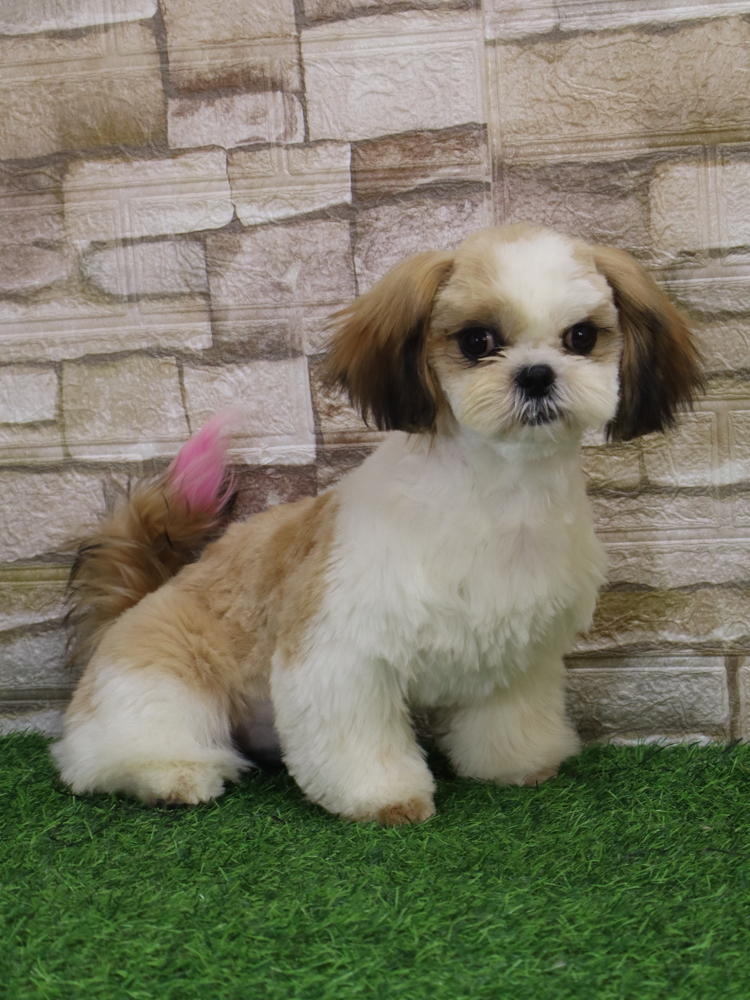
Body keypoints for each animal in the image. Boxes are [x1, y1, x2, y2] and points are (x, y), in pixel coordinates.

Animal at [53, 224, 701, 824]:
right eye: (478, 341)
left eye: (582, 336)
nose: (537, 374)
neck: (496, 495)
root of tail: (142, 597)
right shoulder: (341, 651)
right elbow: (358, 738)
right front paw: (383, 798)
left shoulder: (516, 649)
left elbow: (508, 718)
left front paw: (517, 764)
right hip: (162, 676)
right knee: (107, 748)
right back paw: (171, 774)